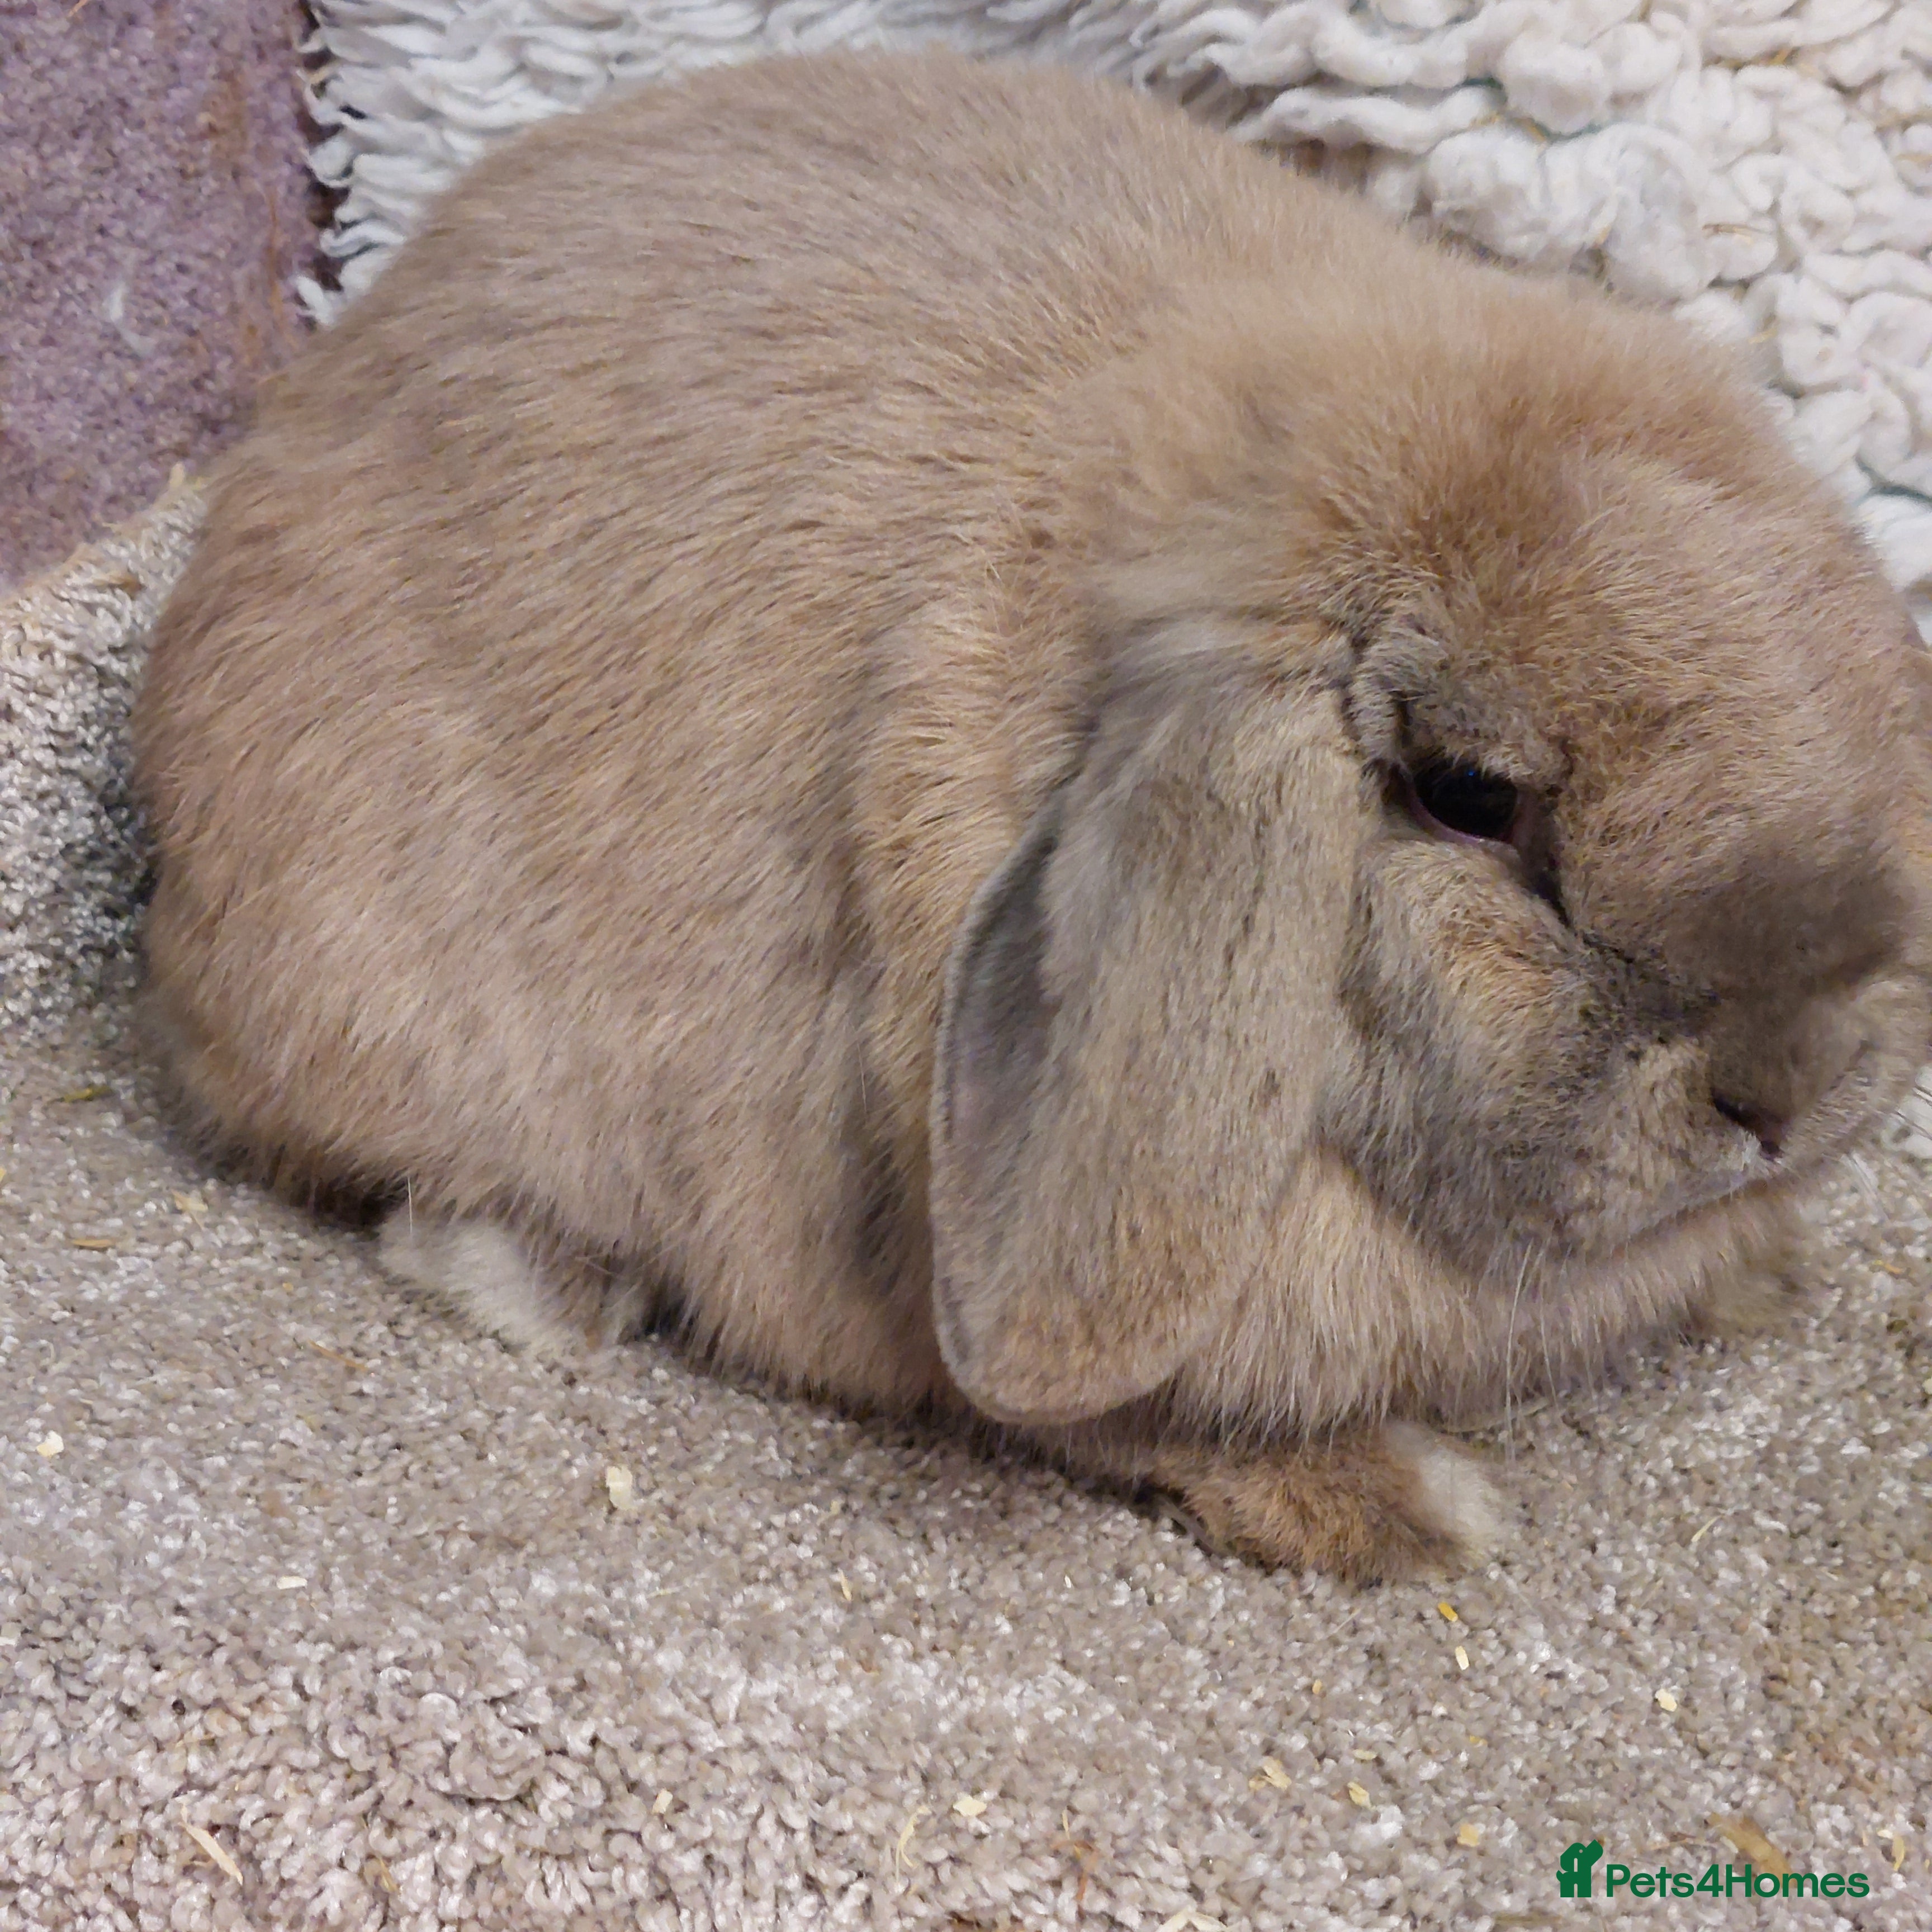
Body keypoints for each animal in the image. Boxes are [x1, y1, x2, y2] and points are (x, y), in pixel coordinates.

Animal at [132, 48, 1932, 1583]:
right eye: (1468, 798)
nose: (1782, 1093)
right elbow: (1145, 1420)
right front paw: (1412, 1509)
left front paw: (1760, 1273)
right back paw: (542, 1280)